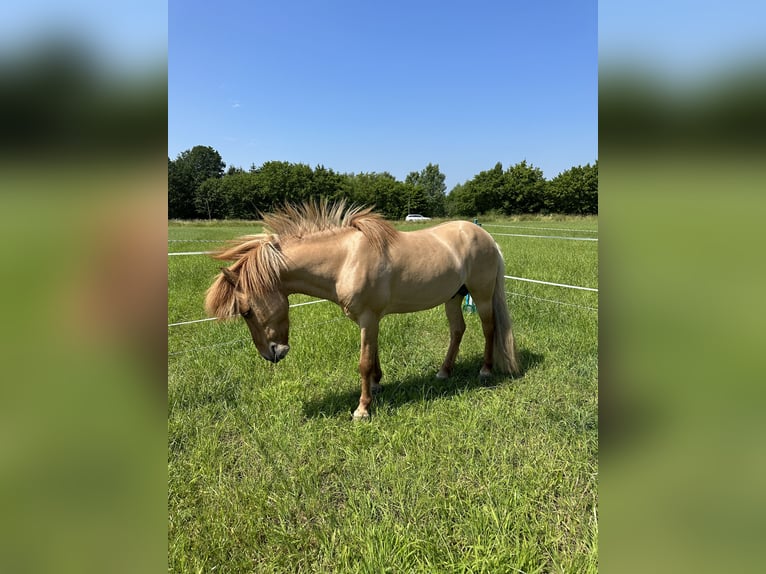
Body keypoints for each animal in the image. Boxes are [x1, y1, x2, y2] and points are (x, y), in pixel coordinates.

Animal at [205, 200, 520, 420]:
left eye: (246, 311)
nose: (272, 354)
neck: (345, 259)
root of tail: (487, 237)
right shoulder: (370, 321)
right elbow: (374, 355)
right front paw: (377, 386)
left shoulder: (368, 318)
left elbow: (364, 362)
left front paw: (363, 409)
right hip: (453, 297)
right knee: (457, 331)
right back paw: (444, 372)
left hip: (481, 295)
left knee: (489, 328)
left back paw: (485, 370)